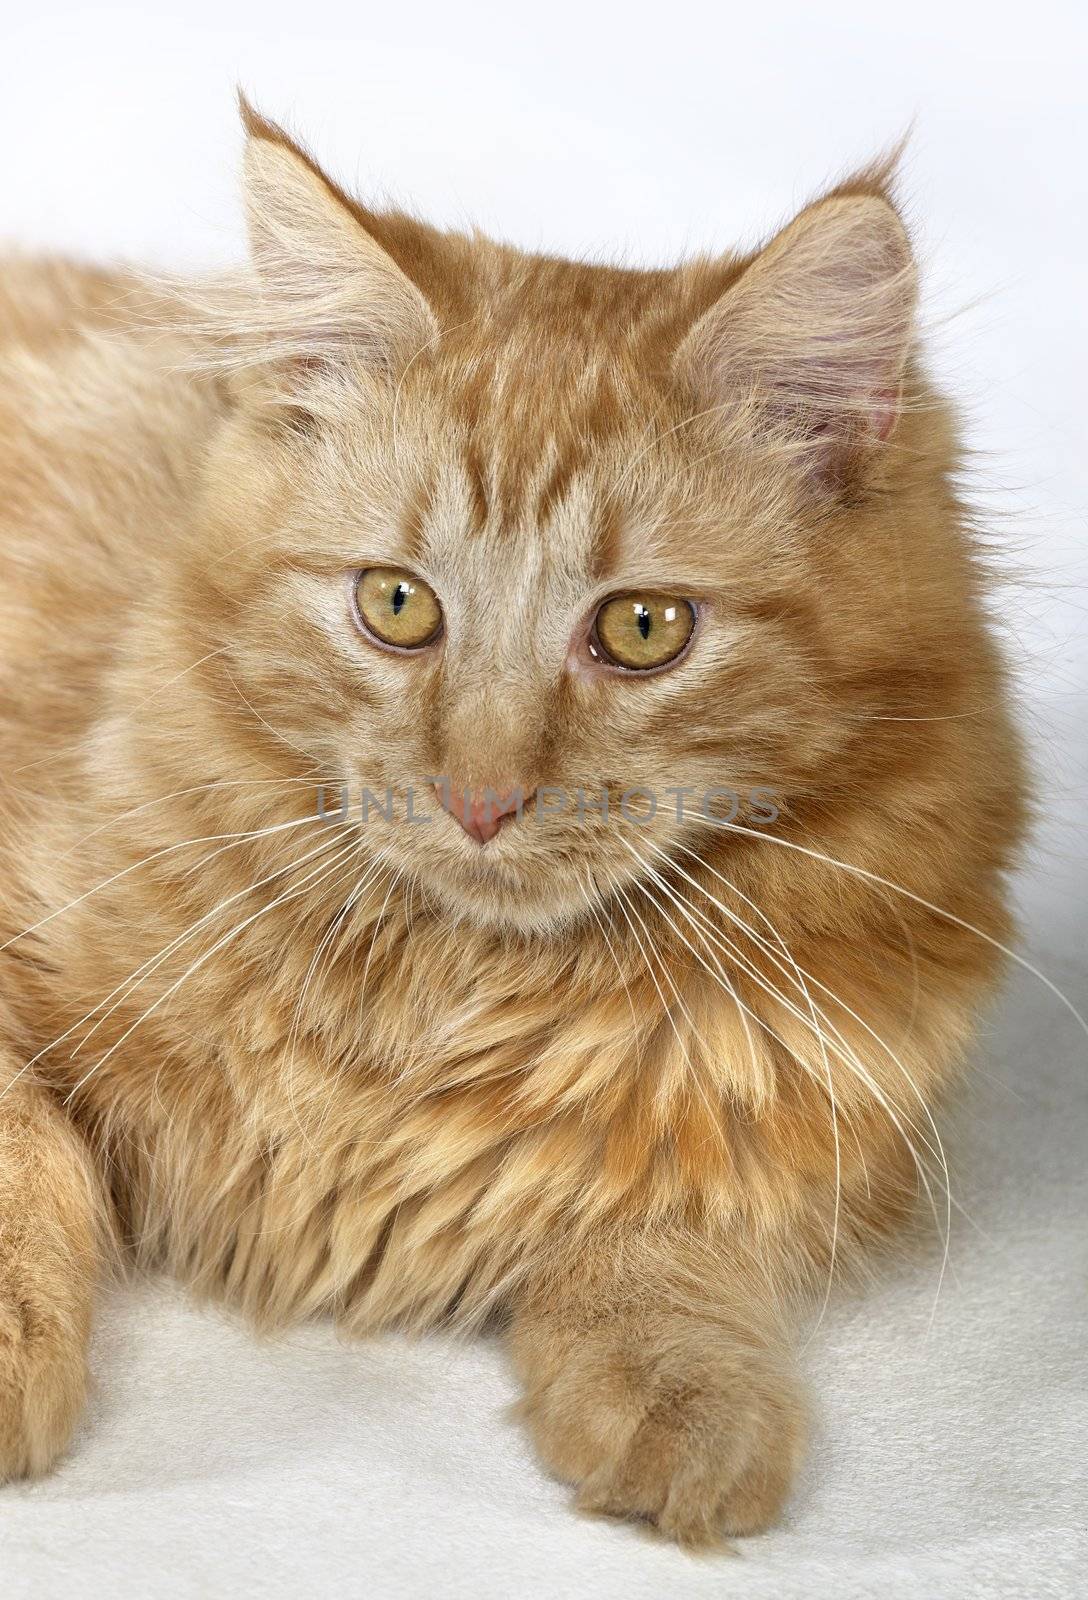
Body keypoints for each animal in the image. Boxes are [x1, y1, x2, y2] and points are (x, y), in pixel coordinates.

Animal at [0, 103, 1030, 1548]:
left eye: (644, 629)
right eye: (396, 606)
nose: (478, 796)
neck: (447, 993)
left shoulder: (807, 1119)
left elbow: (669, 1237)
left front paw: (688, 1399)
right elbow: (25, 1155)